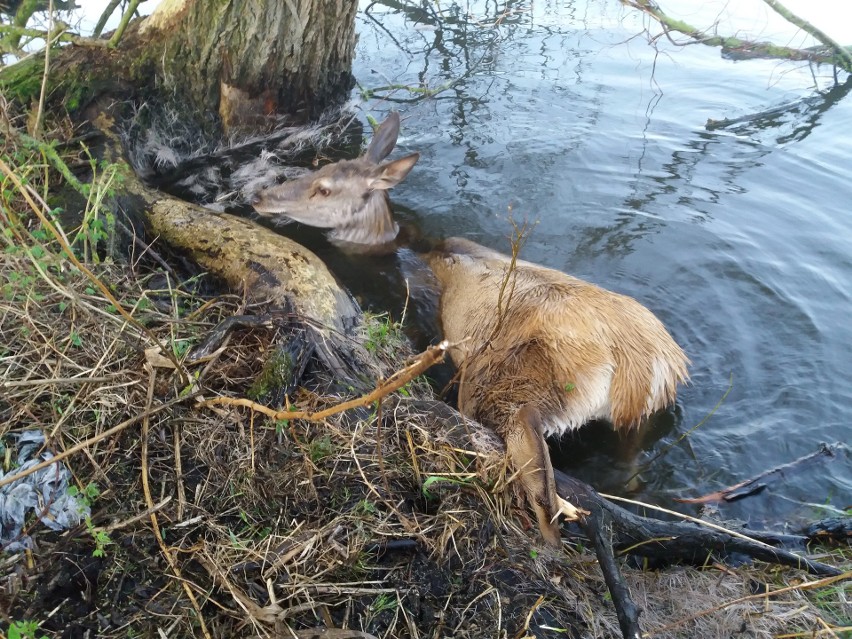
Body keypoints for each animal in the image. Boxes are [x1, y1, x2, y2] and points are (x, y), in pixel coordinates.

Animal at [250, 112, 688, 548]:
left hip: (506, 385)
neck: (413, 248)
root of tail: (640, 368)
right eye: (320, 169)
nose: (260, 198)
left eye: (324, 188)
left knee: (533, 466)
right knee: (630, 470)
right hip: (639, 416)